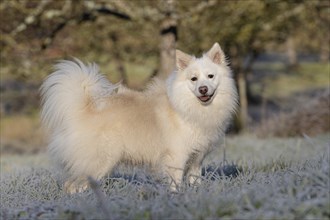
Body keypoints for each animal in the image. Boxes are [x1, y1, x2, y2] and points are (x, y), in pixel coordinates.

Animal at [40, 42, 237, 192]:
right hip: (100, 162)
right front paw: (177, 198)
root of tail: (82, 110)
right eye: (193, 79)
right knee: (72, 186)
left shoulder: (197, 158)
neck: (189, 108)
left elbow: (195, 180)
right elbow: (175, 182)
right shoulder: (176, 157)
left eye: (210, 76)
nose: (203, 89)